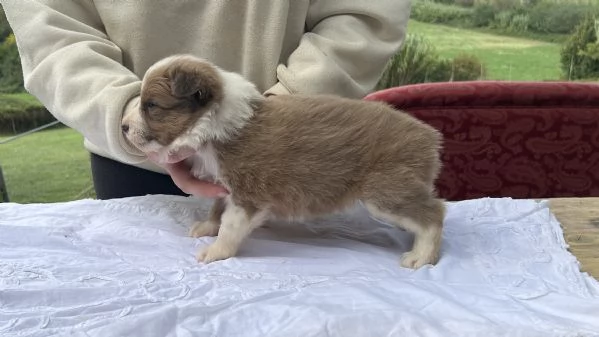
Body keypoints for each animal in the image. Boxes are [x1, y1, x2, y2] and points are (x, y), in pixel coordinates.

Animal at [123, 54, 446, 268]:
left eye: (151, 105)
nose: (123, 127)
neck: (214, 125)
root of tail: (429, 136)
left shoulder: (247, 193)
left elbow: (230, 225)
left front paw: (216, 251)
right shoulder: (224, 184)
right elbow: (217, 209)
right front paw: (207, 227)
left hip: (386, 191)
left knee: (434, 213)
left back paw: (421, 256)